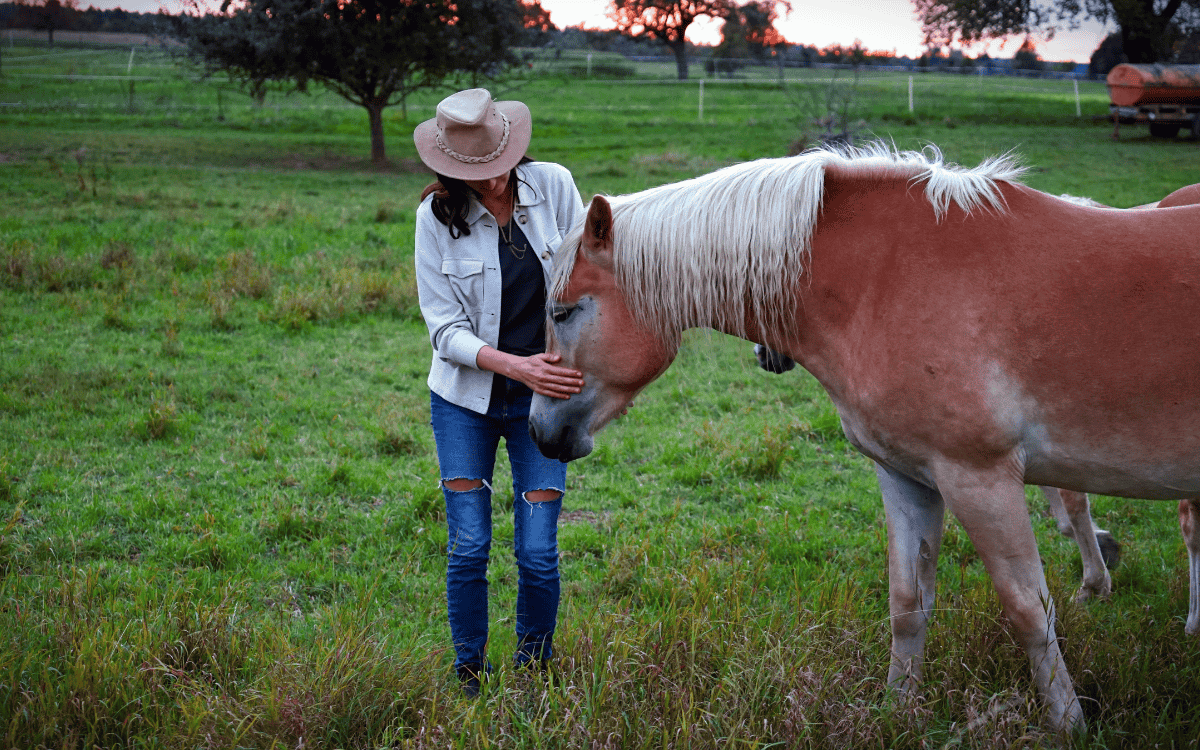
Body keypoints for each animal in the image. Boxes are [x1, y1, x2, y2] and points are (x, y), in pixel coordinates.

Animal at [528, 144, 1200, 732]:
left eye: (564, 311)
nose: (540, 429)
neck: (884, 281)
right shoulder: (908, 475)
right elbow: (908, 604)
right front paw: (897, 713)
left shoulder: (980, 477)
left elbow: (1029, 610)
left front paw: (1069, 724)